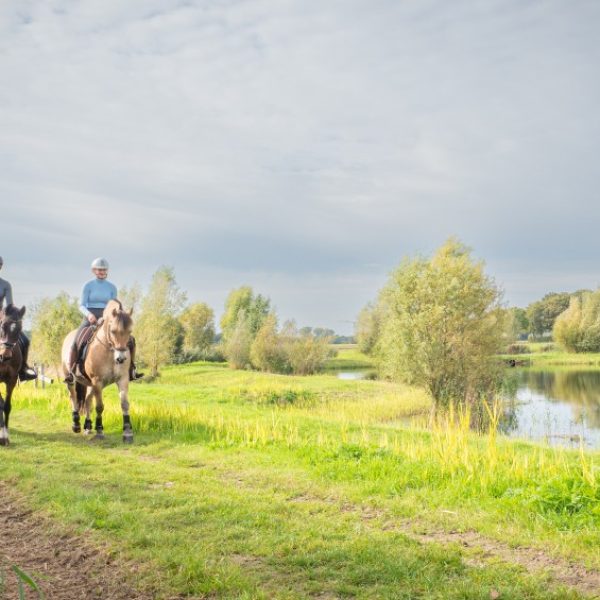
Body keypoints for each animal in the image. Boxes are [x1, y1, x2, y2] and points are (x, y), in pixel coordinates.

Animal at [61, 298, 134, 440]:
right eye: (113, 331)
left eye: (129, 332)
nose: (121, 359)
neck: (110, 351)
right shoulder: (97, 381)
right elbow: (99, 406)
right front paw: (100, 430)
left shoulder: (122, 379)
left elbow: (124, 404)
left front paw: (127, 432)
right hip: (71, 379)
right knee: (73, 397)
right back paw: (76, 425)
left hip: (90, 384)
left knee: (87, 401)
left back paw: (88, 427)